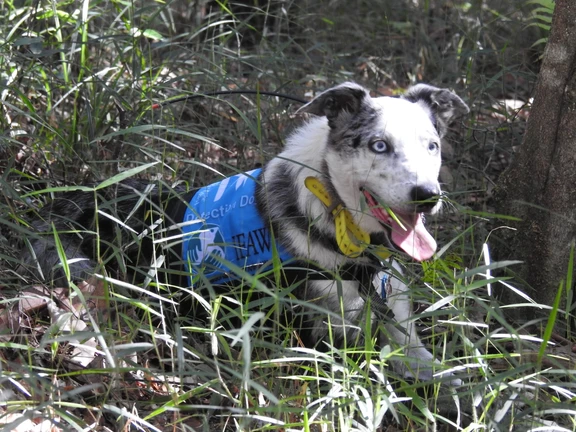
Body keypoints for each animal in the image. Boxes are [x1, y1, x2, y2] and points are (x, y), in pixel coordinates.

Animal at [20, 82, 468, 384]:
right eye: (378, 145)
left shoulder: (395, 310)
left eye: (432, 146)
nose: (427, 196)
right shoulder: (326, 334)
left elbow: (431, 367)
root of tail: (73, 202)